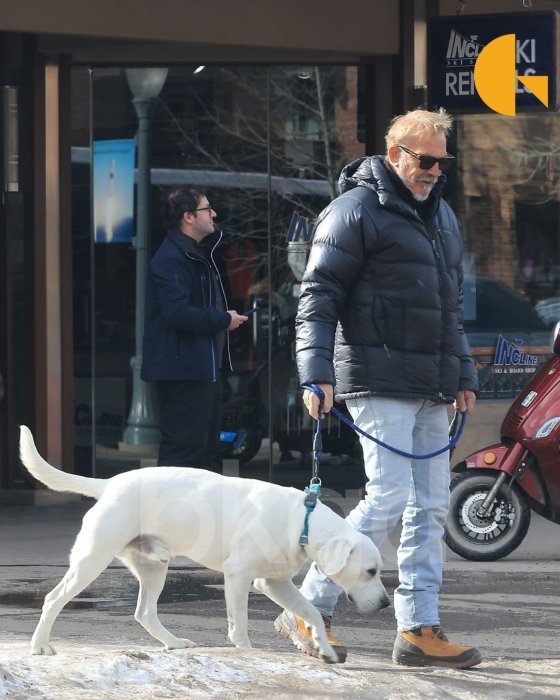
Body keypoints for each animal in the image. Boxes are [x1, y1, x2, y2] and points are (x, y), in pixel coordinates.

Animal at [18, 426, 390, 660]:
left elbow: (310, 610)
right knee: (53, 599)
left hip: (154, 567)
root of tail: (109, 484)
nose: (387, 604)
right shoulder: (239, 576)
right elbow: (239, 626)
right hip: (92, 560)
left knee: (145, 612)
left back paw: (172, 642)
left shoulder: (274, 582)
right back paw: (39, 646)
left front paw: (323, 646)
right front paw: (247, 652)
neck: (304, 519)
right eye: (370, 571)